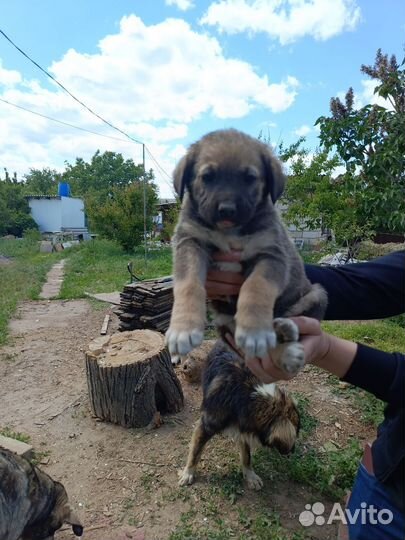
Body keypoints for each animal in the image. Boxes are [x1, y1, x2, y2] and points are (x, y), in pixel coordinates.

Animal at [164, 129, 326, 374]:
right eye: (207, 177)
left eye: (249, 178)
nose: (227, 210)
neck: (229, 232)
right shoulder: (191, 242)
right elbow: (189, 284)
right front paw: (183, 328)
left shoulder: (270, 254)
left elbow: (256, 287)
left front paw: (254, 331)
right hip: (225, 322)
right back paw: (286, 346)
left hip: (316, 295)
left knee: (291, 325)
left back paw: (286, 334)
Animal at [178, 342, 300, 490]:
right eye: (295, 434)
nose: (292, 452)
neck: (247, 397)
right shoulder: (205, 426)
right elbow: (195, 452)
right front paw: (188, 473)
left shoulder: (244, 426)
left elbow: (247, 456)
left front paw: (250, 476)